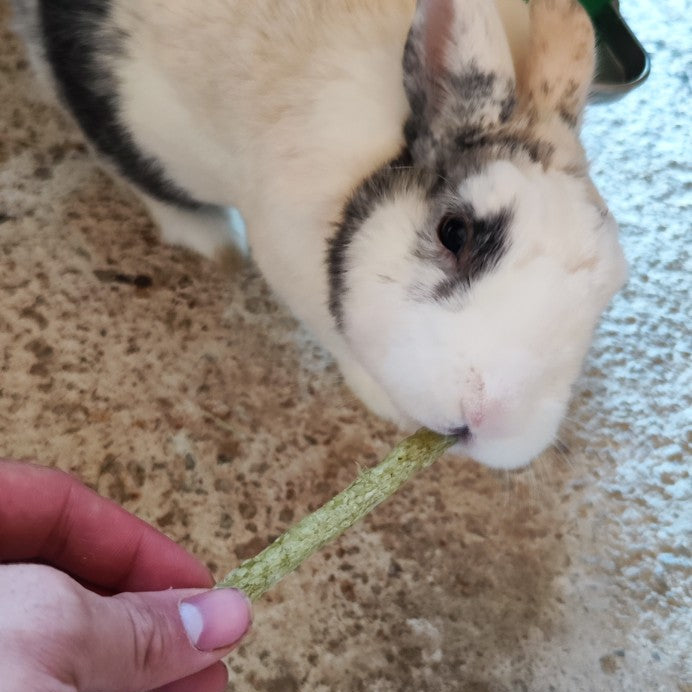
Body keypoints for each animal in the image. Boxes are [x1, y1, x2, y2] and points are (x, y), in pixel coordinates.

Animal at [10, 0, 627, 469]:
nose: (489, 419)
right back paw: (212, 241)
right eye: (454, 232)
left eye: (610, 291)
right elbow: (337, 340)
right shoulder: (287, 258)